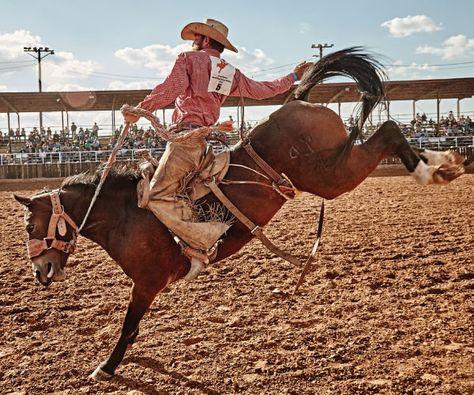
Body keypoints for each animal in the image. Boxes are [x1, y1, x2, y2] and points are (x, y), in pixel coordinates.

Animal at [14, 47, 466, 380]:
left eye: (30, 223)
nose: (40, 272)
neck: (127, 212)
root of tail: (299, 101)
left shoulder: (147, 282)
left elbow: (128, 325)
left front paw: (105, 368)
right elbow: (134, 327)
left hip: (328, 175)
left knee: (387, 129)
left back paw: (435, 168)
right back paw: (443, 164)